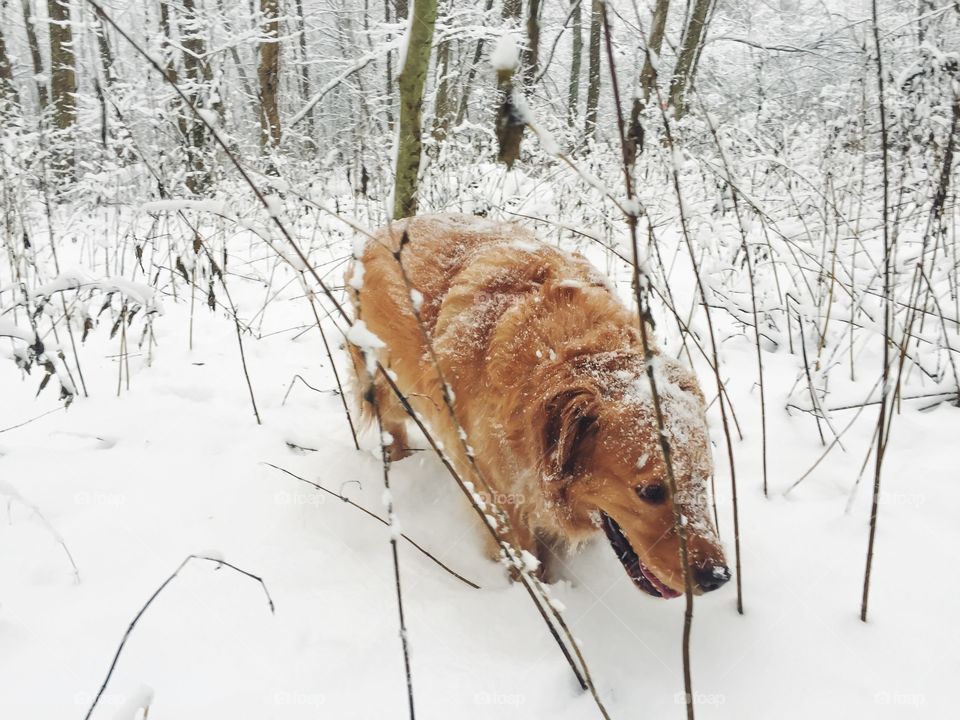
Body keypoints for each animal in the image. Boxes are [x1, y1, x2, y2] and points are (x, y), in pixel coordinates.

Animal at [348, 214, 732, 596]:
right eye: (651, 491)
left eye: (705, 479)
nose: (718, 578)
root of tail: (388, 226)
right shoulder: (499, 497)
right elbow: (526, 558)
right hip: (396, 388)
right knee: (388, 420)